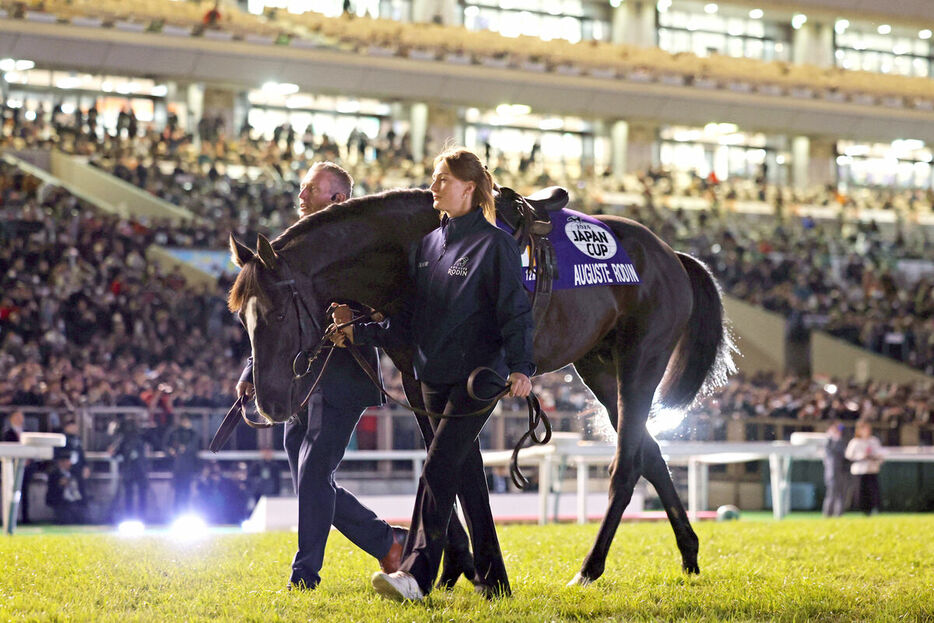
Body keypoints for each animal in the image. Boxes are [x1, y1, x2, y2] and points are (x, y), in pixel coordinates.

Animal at [229, 188, 740, 588]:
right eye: (241, 318)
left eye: (277, 313)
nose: (267, 401)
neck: (414, 253)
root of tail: (672, 256)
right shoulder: (419, 377)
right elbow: (449, 460)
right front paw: (457, 564)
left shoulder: (474, 379)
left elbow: (453, 462)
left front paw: (466, 568)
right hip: (597, 367)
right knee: (650, 452)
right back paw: (689, 551)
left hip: (640, 363)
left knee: (627, 462)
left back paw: (590, 567)